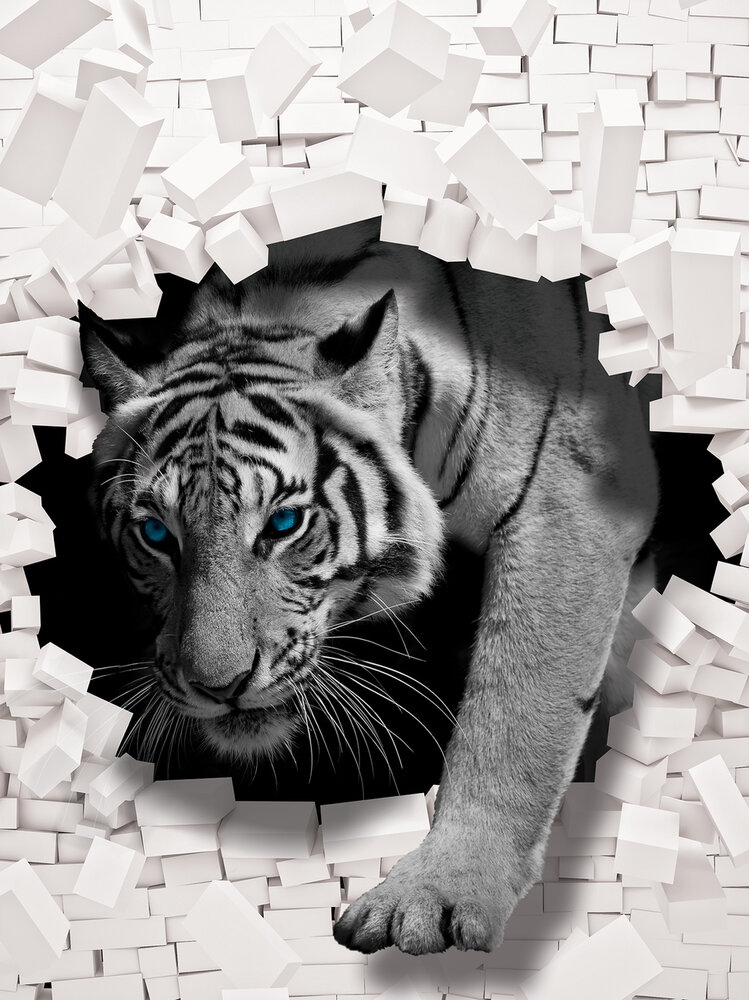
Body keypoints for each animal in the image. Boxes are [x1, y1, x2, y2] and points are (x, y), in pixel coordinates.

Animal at [78, 217, 658, 956]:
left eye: (285, 523)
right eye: (156, 534)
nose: (218, 686)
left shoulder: (571, 502)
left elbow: (514, 715)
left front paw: (438, 895)